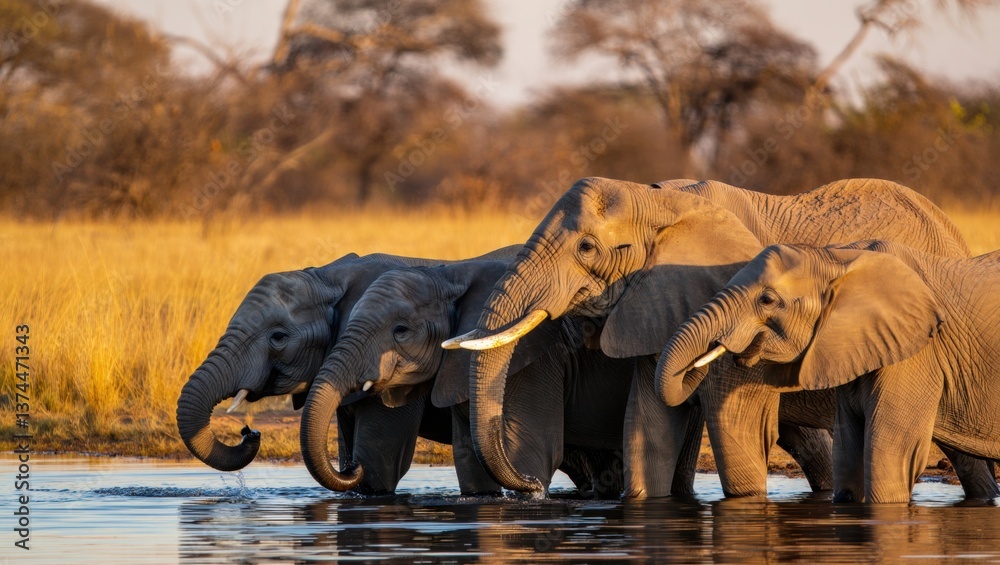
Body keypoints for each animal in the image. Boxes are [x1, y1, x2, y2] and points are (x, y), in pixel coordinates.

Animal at [298, 256, 634, 496]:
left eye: (401, 331)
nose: (351, 468)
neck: (451, 276)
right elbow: (471, 466)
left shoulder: (534, 360)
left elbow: (532, 450)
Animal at [656, 240, 1000, 503]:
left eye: (767, 300)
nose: (715, 346)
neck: (838, 258)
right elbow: (848, 458)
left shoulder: (917, 355)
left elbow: (890, 458)